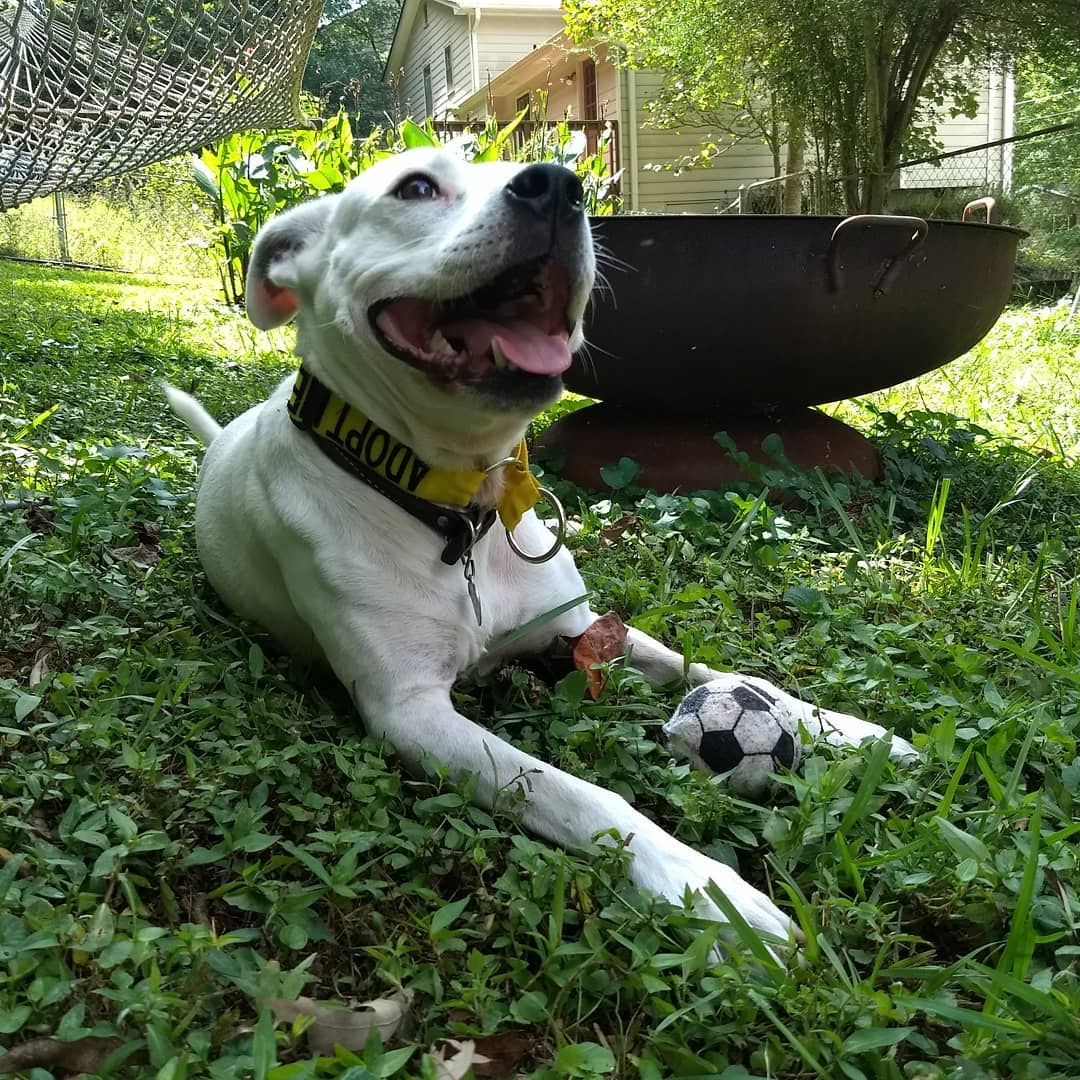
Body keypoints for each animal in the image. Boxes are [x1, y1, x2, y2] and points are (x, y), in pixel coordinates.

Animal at [166, 147, 911, 950]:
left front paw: (845, 728)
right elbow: (578, 794)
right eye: (416, 187)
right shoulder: (411, 713)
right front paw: (706, 888)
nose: (558, 185)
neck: (458, 507)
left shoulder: (582, 629)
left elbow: (718, 671)